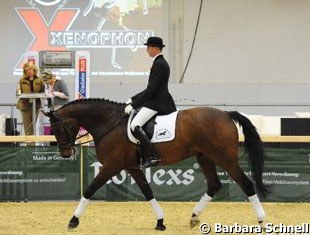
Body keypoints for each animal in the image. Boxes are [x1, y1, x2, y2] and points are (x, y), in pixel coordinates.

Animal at [42, 98, 268, 230]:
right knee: (214, 185)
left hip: (225, 158)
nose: (65, 153)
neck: (110, 124)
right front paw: (160, 221)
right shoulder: (132, 167)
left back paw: (261, 220)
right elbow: (147, 191)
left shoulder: (112, 166)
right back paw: (194, 217)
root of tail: (226, 114)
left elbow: (89, 189)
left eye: (58, 128)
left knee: (246, 184)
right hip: (205, 157)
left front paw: (73, 220)